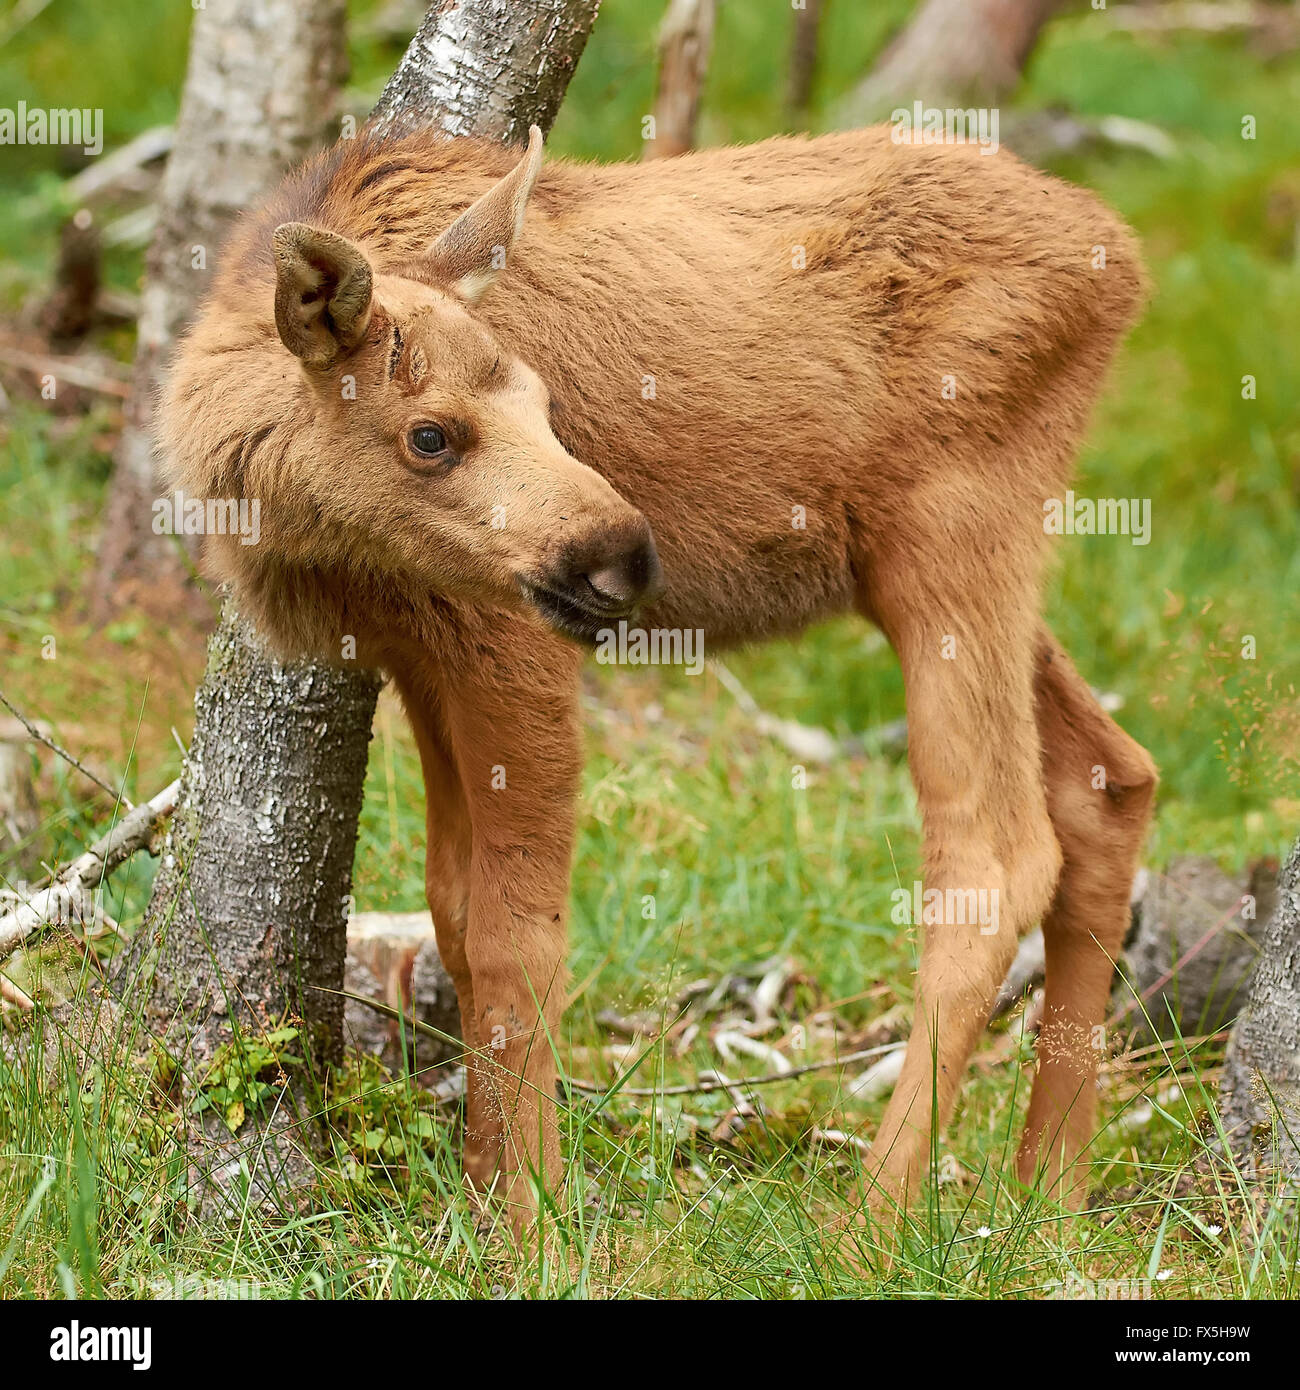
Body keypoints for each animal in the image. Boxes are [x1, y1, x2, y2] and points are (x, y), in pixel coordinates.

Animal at [165, 122, 1156, 1228]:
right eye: (430, 434)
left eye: (545, 402)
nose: (627, 556)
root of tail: (1121, 258)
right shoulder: (422, 654)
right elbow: (451, 914)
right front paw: (481, 1190)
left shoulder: (511, 644)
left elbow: (518, 936)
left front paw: (535, 1220)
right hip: (935, 569)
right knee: (1111, 777)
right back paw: (1048, 1195)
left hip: (951, 533)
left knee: (995, 853)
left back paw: (871, 1221)